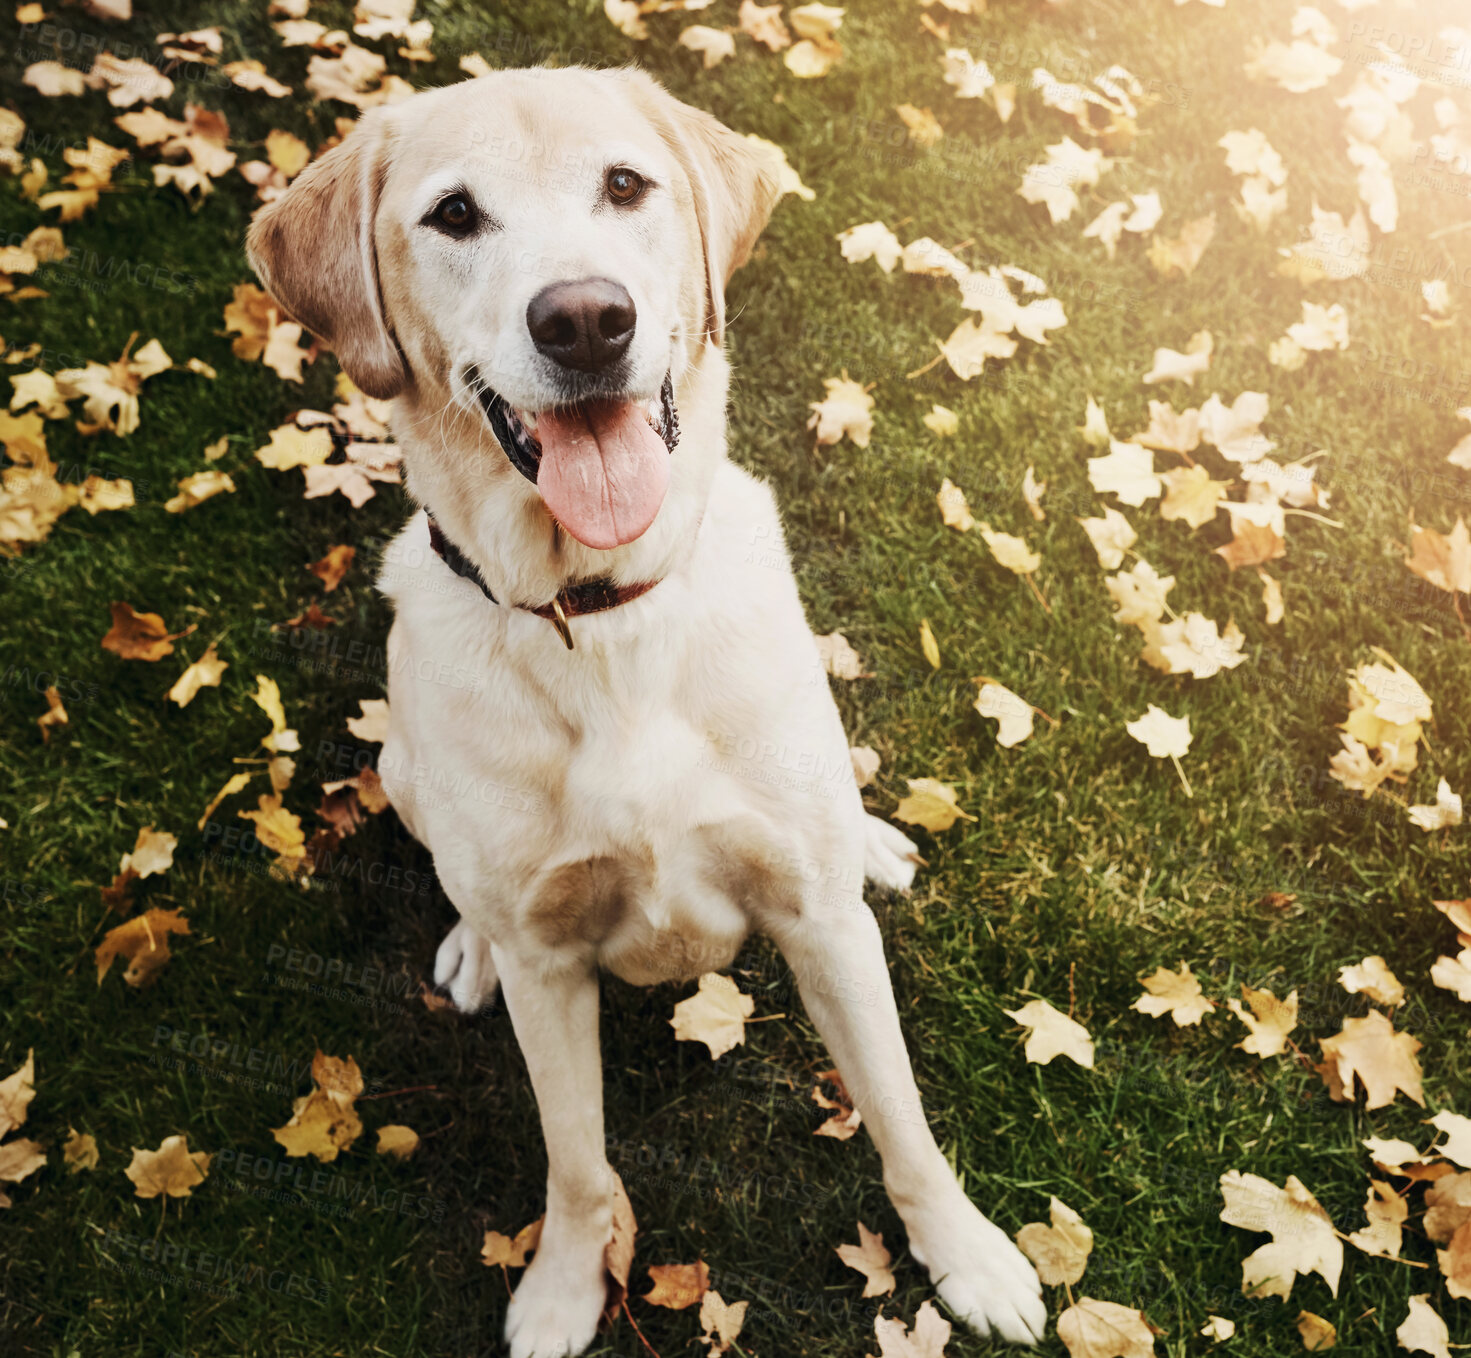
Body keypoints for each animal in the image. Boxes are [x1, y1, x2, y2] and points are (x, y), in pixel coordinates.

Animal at [244, 69, 1047, 1358]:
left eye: (625, 185)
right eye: (454, 214)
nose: (584, 320)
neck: (602, 614)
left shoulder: (820, 925)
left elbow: (900, 1112)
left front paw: (967, 1255)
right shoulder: (551, 969)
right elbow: (577, 1163)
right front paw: (565, 1287)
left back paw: (875, 841)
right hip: (405, 760)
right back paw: (467, 942)